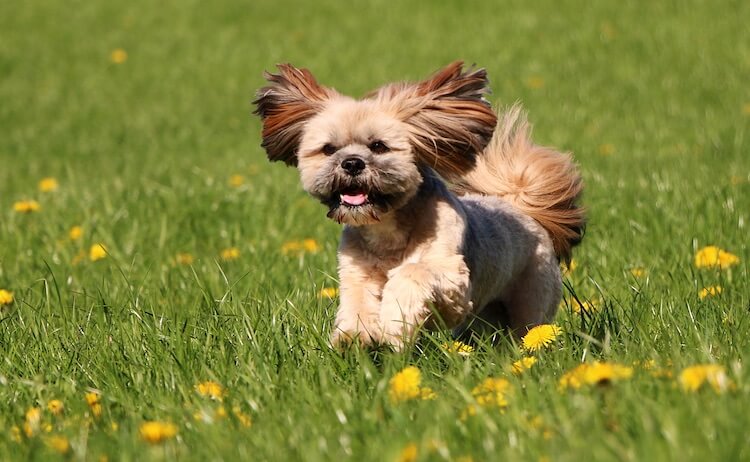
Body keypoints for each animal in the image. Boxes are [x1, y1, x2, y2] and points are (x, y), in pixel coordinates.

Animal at [256, 62, 584, 350]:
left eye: (379, 146)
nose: (351, 163)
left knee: (529, 329)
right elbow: (357, 301)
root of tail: (520, 208)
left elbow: (412, 274)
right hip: (483, 320)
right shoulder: (356, 273)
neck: (388, 233)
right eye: (328, 149)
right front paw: (356, 336)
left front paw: (394, 324)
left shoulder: (454, 281)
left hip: (530, 301)